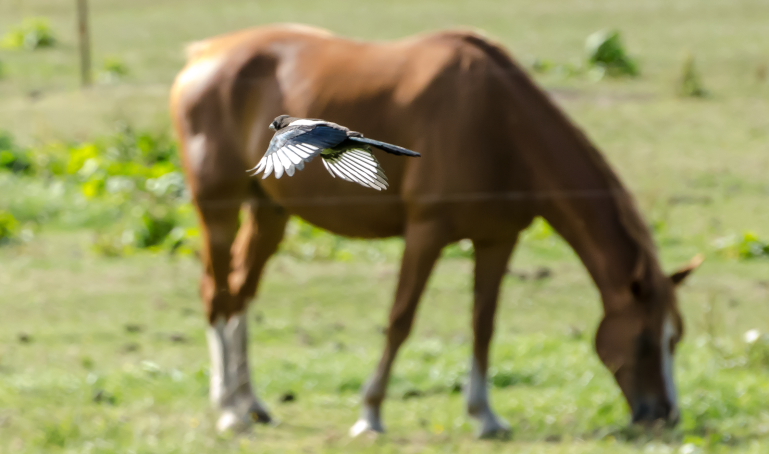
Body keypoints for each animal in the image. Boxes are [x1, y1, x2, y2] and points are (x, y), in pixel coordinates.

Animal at [171, 24, 700, 436]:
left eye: (675, 338)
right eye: (647, 339)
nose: (665, 415)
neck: (500, 122)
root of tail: (203, 53)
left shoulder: (497, 239)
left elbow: (483, 325)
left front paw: (485, 415)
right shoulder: (426, 233)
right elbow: (400, 320)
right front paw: (370, 413)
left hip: (269, 212)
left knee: (241, 293)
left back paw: (250, 403)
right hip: (219, 210)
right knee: (219, 294)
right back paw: (229, 410)